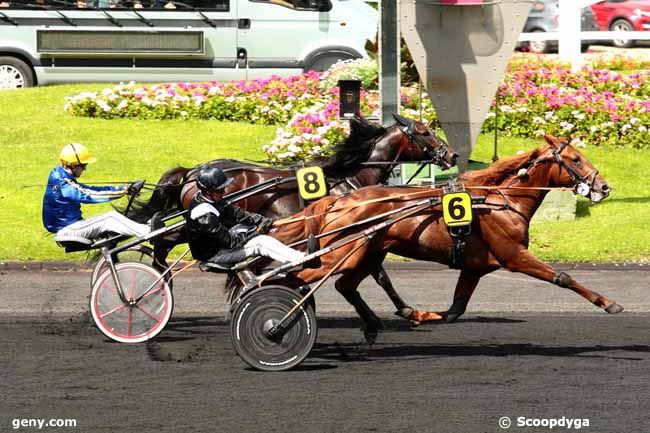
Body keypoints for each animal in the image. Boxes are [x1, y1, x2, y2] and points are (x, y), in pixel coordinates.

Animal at [272, 133, 616, 342]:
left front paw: (415, 314)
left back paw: (371, 326)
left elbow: (454, 311)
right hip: (342, 252)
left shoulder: (474, 267)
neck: (501, 200)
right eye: (575, 159)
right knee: (295, 277)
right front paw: (609, 303)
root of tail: (340, 200)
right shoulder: (514, 255)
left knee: (344, 285)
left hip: (367, 252)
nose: (604, 187)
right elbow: (562, 277)